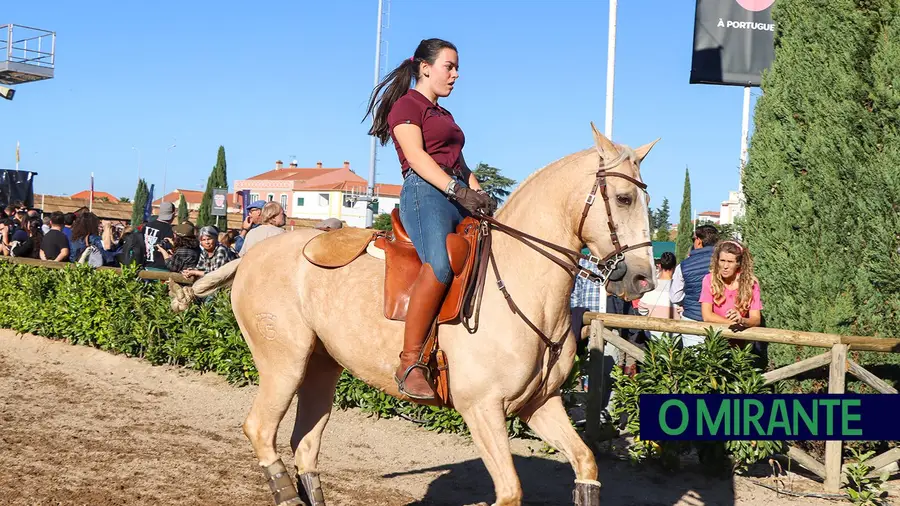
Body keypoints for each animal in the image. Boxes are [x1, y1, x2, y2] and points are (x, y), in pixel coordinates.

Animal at [229, 125, 656, 506]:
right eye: (623, 198)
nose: (643, 279)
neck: (520, 283)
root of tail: (249, 257)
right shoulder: (482, 409)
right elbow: (510, 492)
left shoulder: (540, 404)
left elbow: (585, 462)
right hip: (285, 364)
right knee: (261, 429)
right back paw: (286, 495)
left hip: (321, 366)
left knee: (305, 444)